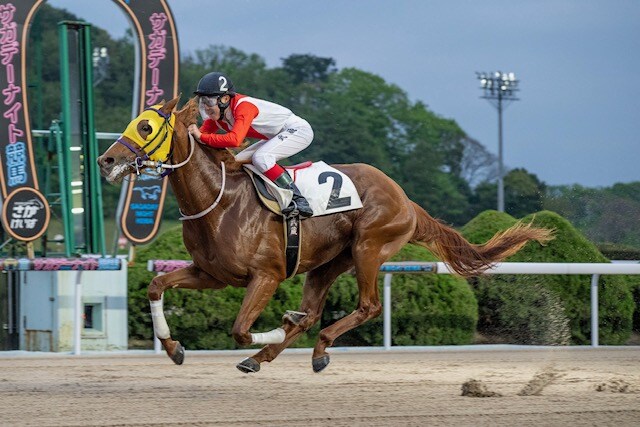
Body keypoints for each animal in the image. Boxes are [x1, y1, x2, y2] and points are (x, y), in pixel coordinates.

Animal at [97, 96, 552, 373]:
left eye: (145, 127)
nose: (106, 160)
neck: (220, 201)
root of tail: (406, 199)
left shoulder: (265, 276)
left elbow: (240, 328)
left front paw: (276, 324)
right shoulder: (211, 274)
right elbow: (156, 286)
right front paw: (173, 348)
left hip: (369, 248)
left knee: (367, 306)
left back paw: (309, 347)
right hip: (328, 263)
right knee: (315, 311)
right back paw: (267, 355)